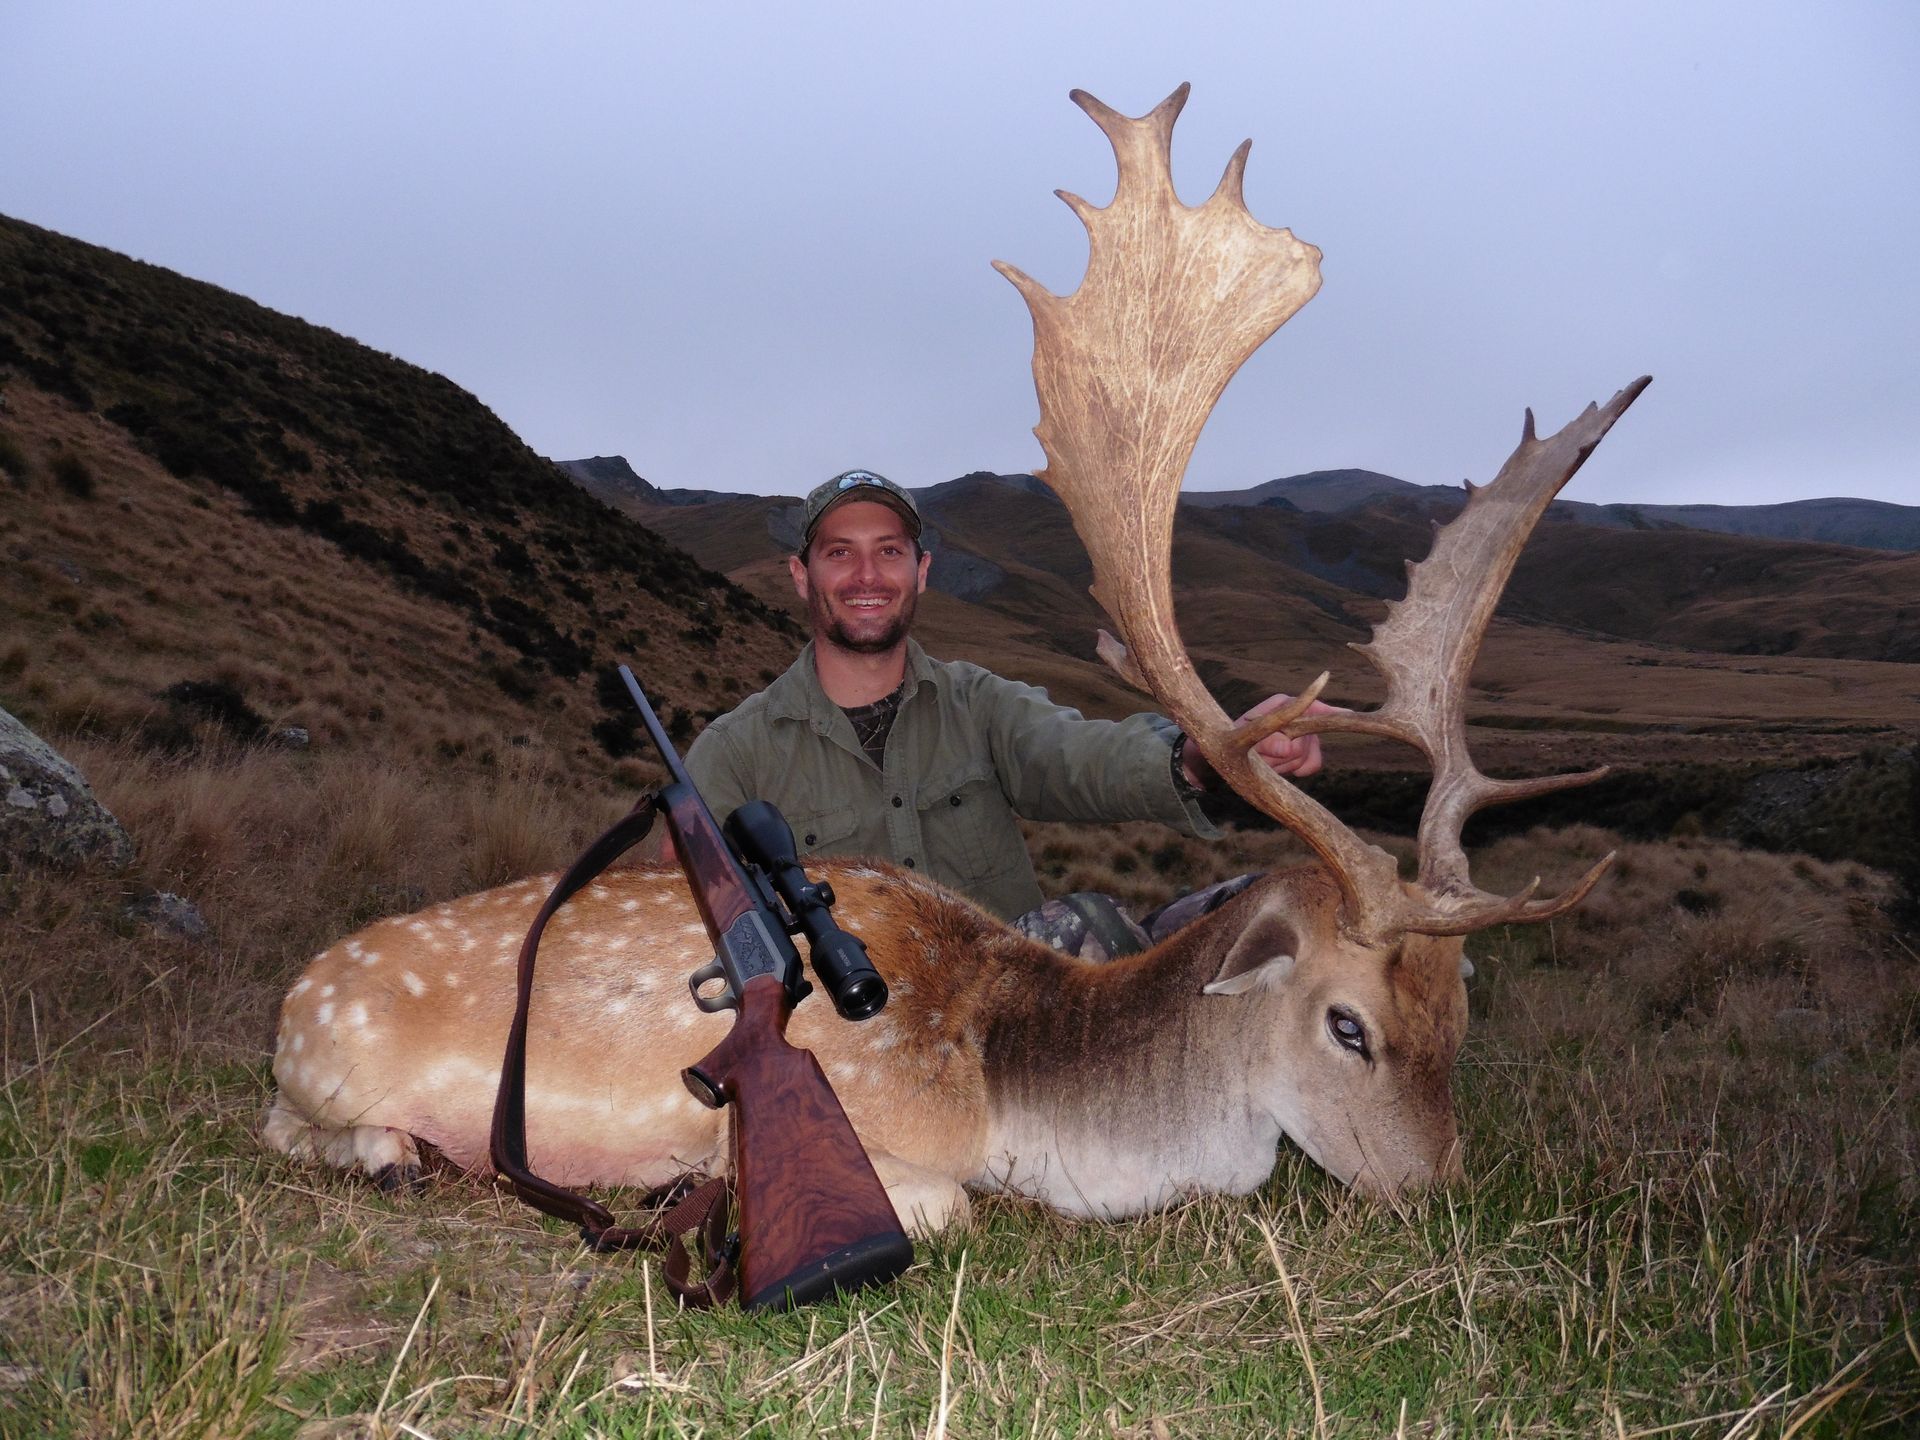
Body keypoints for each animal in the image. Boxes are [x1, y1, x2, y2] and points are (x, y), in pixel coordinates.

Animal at [263, 85, 1647, 1235]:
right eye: (1348, 1023)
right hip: (317, 1072)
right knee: (294, 1130)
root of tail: (289, 999)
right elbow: (943, 1209)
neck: (1017, 1088)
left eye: (1463, 1008)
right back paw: (400, 1153)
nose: (1441, 1192)